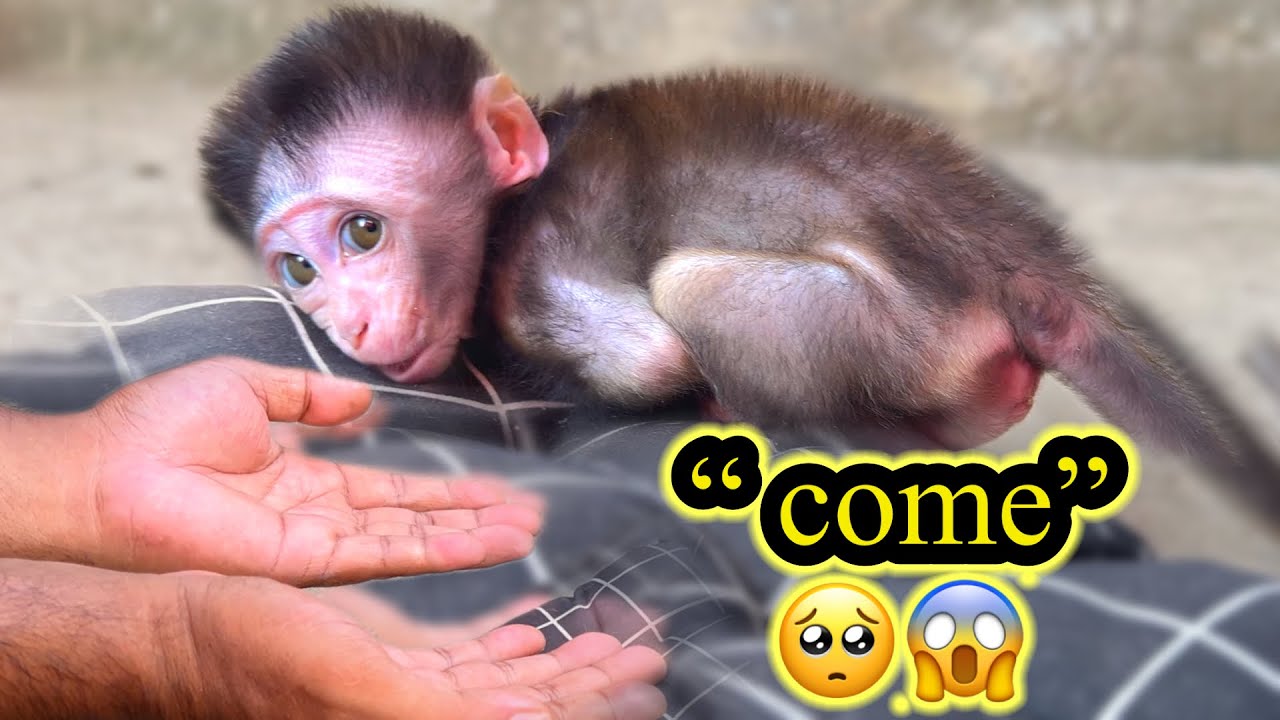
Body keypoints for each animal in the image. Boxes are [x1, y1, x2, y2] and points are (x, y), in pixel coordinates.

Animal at [199, 6, 1232, 461]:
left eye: (364, 233)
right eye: (298, 270)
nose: (350, 322)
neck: (510, 204)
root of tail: (1020, 262)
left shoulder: (540, 263)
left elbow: (646, 359)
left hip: (898, 335)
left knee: (694, 292)